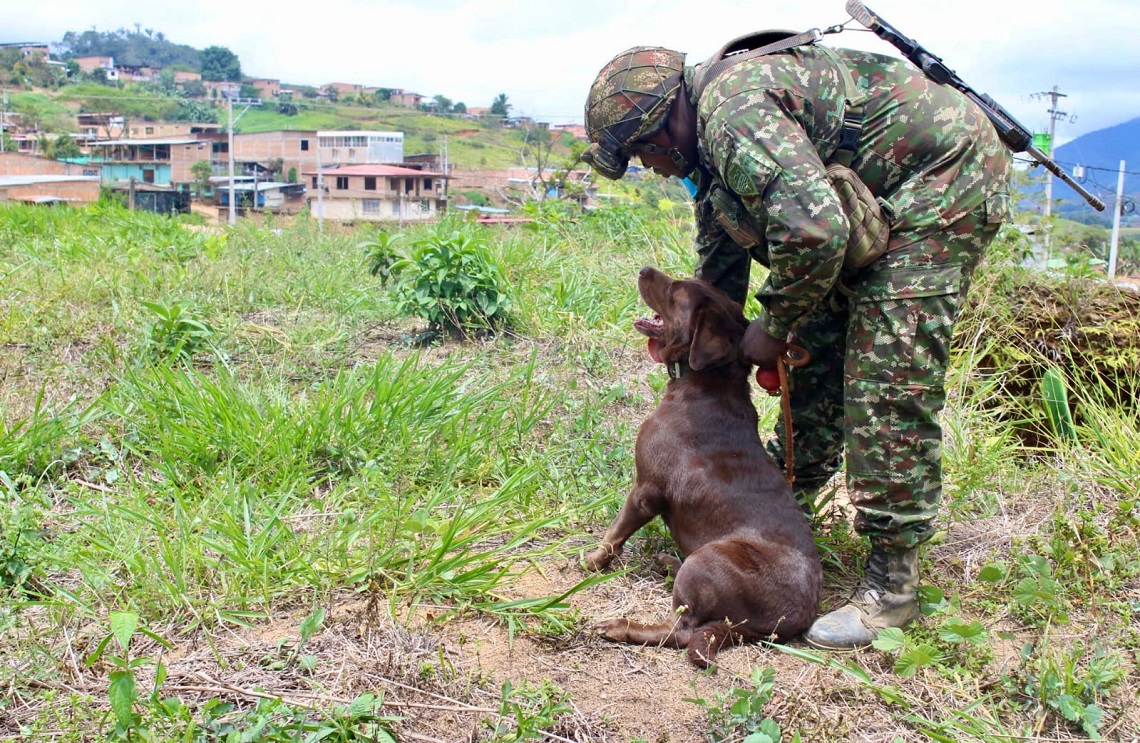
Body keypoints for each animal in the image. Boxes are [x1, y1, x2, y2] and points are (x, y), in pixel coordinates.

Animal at [588, 265, 820, 665]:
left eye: (675, 292)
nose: (644, 269)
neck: (709, 379)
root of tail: (787, 622)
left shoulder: (646, 490)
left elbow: (614, 534)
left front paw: (591, 562)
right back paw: (669, 562)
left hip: (709, 560)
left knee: (680, 631)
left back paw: (619, 626)